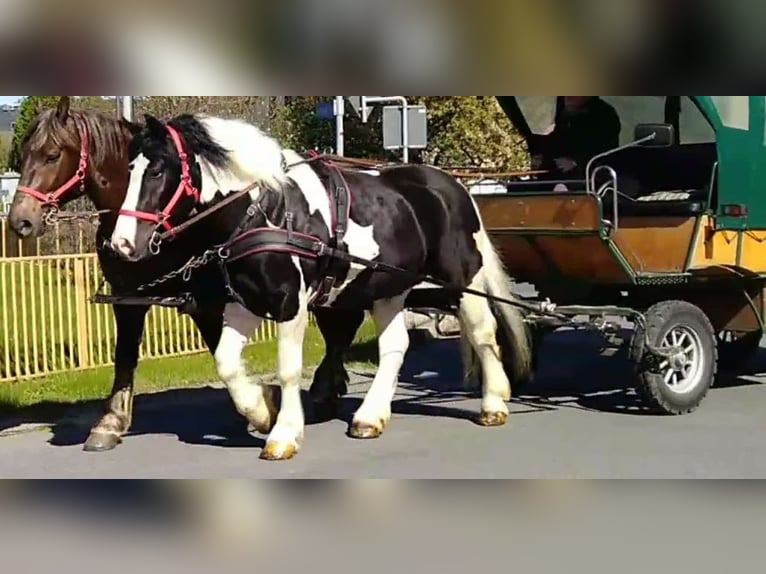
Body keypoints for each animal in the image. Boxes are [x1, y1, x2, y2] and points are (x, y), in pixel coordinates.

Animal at [7, 96, 364, 452]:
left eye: (52, 155)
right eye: (23, 155)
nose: (20, 221)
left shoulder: (208, 301)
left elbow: (223, 356)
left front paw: (260, 407)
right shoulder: (128, 299)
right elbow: (125, 356)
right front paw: (110, 422)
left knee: (341, 328)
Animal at [109, 112, 533, 461]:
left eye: (157, 170)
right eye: (129, 168)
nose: (122, 244)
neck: (266, 212)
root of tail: (453, 186)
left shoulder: (290, 305)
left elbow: (289, 369)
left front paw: (283, 434)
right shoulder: (243, 304)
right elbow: (227, 363)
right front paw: (261, 410)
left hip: (461, 280)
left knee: (483, 333)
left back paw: (494, 404)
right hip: (388, 288)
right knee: (395, 346)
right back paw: (370, 417)